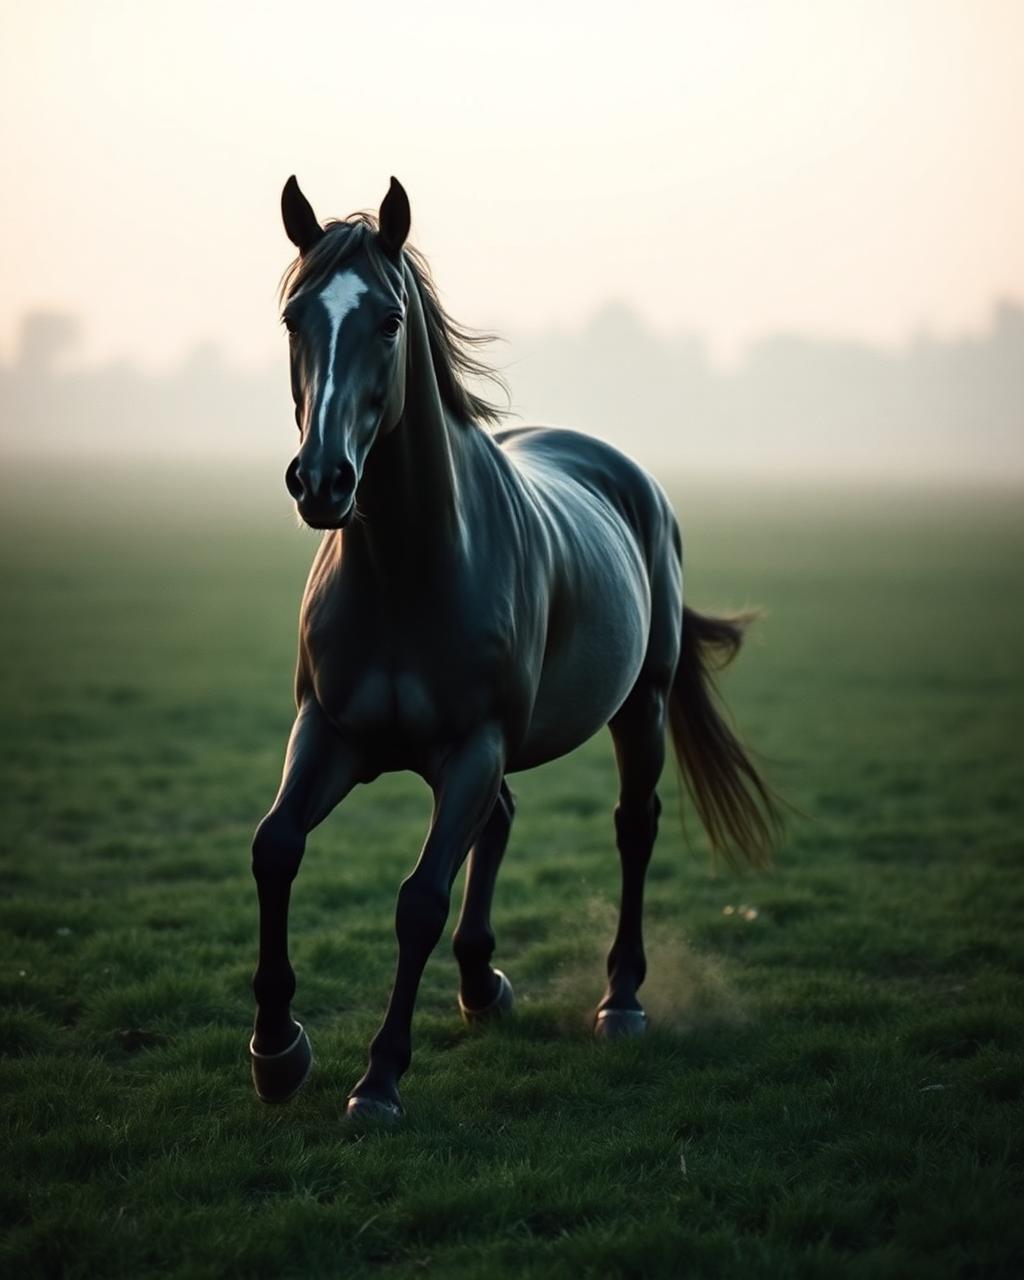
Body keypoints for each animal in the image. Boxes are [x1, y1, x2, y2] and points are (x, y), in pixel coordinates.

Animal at [248, 175, 780, 1122]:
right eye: (293, 318)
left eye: (389, 320)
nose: (322, 482)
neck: (405, 567)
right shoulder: (331, 733)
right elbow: (275, 848)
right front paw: (277, 1051)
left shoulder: (473, 745)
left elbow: (419, 901)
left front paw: (379, 1079)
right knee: (498, 819)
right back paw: (479, 983)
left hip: (638, 708)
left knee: (632, 827)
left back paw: (620, 1000)